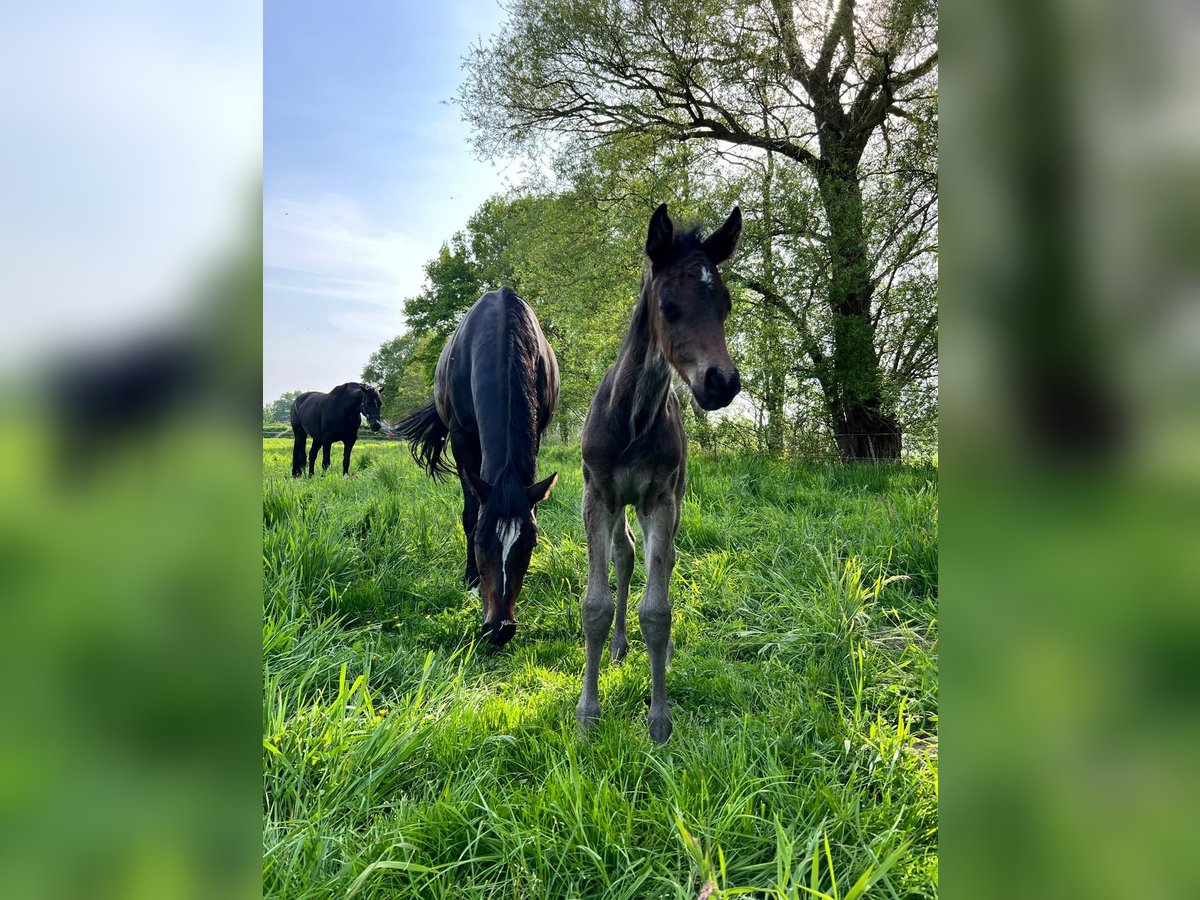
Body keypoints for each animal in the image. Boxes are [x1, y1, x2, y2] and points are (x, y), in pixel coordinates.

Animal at [395, 286, 560, 648]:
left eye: (530, 544)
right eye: (482, 541)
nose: (500, 628)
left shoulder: (538, 430)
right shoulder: (461, 436)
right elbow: (471, 512)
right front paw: (471, 579)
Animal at [576, 203, 743, 743]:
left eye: (725, 305)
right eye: (668, 305)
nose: (722, 382)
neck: (632, 417)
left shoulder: (660, 498)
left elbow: (658, 608)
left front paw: (659, 717)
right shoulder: (598, 495)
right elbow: (596, 605)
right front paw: (588, 713)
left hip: (672, 499)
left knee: (662, 561)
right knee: (625, 555)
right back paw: (618, 647)